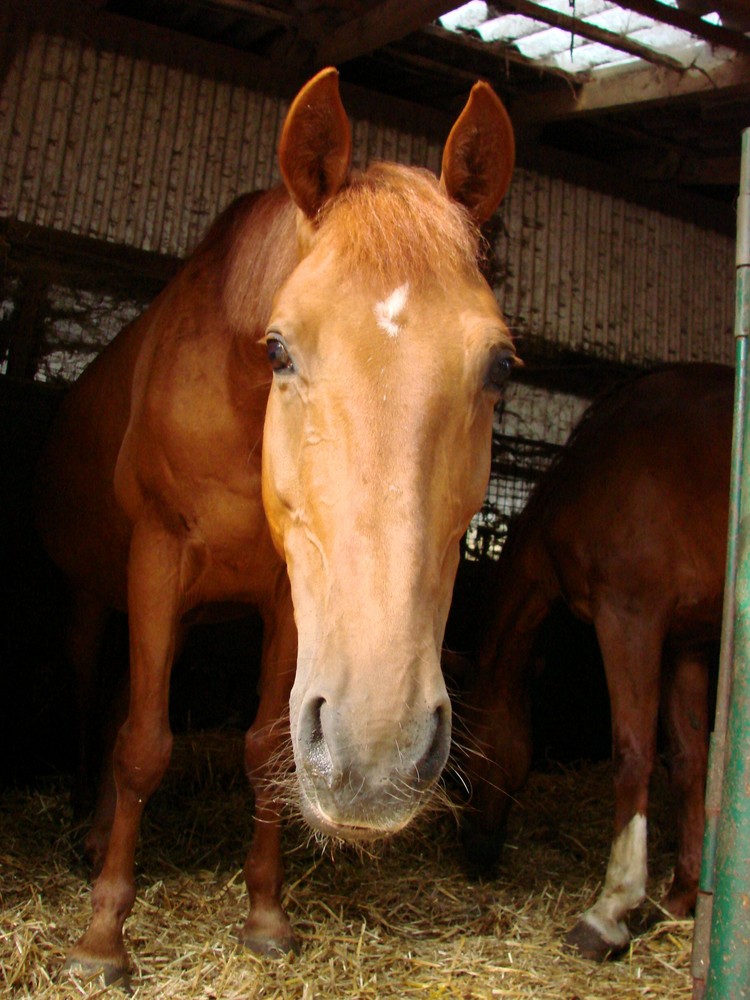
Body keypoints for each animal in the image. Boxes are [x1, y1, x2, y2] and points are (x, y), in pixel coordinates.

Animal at [33, 72, 516, 984]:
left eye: (501, 365)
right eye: (280, 349)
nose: (378, 754)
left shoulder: (289, 599)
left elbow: (264, 752)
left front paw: (265, 917)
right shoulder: (157, 560)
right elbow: (144, 746)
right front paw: (102, 938)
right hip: (89, 600)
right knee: (90, 705)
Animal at [464, 366, 736, 960]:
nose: (472, 854)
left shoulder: (630, 619)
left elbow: (633, 756)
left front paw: (611, 910)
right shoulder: (685, 643)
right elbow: (688, 760)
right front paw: (680, 897)